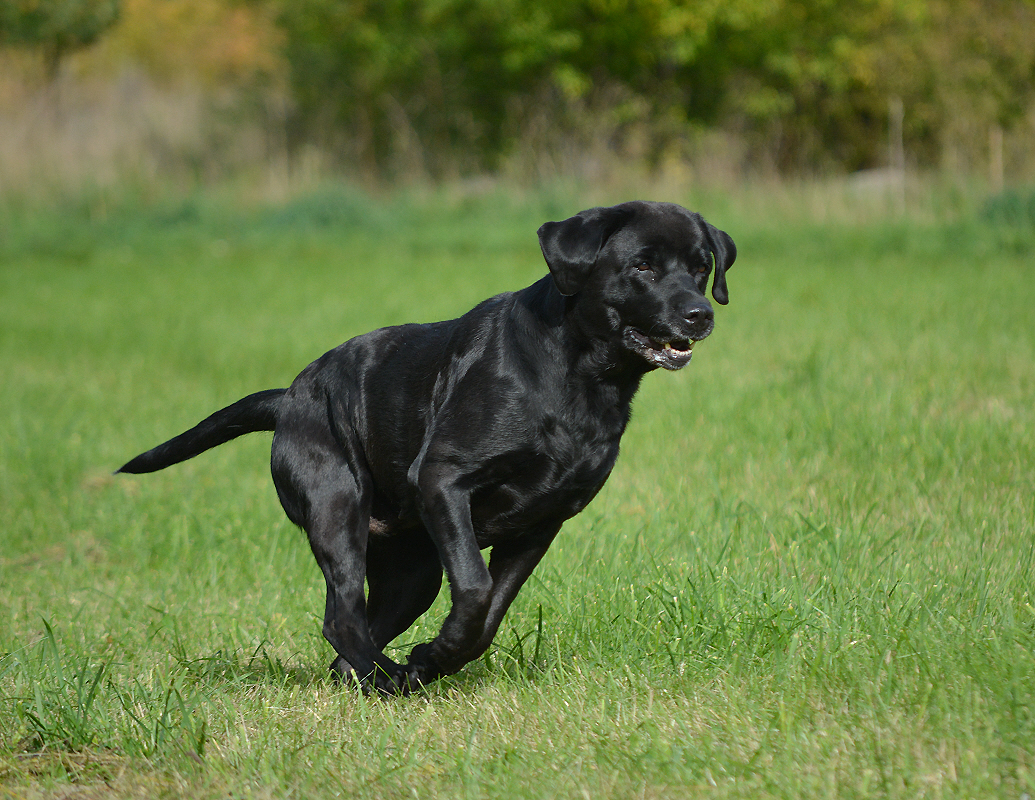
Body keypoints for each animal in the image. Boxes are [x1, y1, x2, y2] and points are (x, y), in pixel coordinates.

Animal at [119, 199, 736, 691]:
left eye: (701, 267)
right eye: (642, 265)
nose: (699, 314)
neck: (579, 377)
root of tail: (288, 398)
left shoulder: (542, 522)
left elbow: (490, 614)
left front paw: (432, 660)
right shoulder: (444, 479)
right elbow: (476, 588)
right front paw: (429, 656)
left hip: (410, 571)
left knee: (354, 632)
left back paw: (382, 680)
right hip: (337, 507)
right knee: (342, 617)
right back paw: (386, 675)